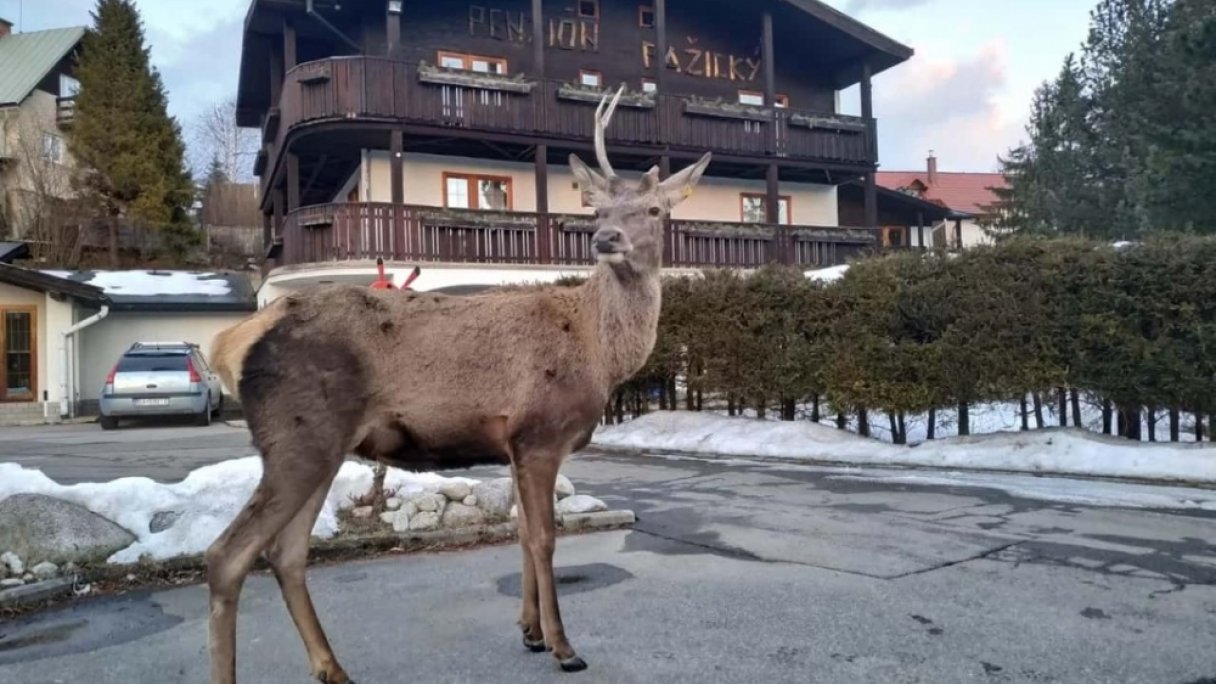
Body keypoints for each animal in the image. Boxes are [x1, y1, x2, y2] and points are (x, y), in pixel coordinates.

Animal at [201, 86, 710, 681]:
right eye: (599, 209)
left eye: (654, 210)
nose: (606, 238)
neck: (598, 351)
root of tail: (232, 340)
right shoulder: (539, 434)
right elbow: (544, 537)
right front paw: (562, 645)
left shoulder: (511, 444)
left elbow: (520, 534)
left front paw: (529, 632)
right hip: (298, 437)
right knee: (228, 555)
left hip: (316, 447)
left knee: (286, 553)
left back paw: (333, 667)